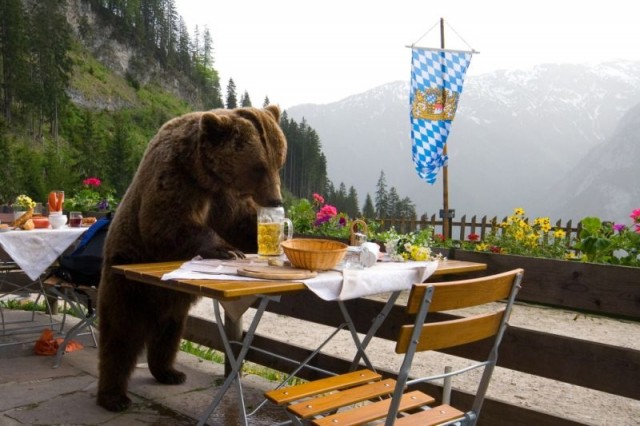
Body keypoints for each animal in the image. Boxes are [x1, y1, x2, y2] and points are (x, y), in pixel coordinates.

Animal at [96, 105, 287, 412]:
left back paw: (169, 372)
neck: (205, 175)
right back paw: (114, 397)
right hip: (126, 282)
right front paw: (226, 250)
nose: (275, 200)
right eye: (258, 167)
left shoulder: (223, 198)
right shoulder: (174, 176)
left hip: (173, 303)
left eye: (278, 162)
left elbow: (240, 223)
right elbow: (165, 222)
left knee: (169, 333)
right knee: (120, 335)